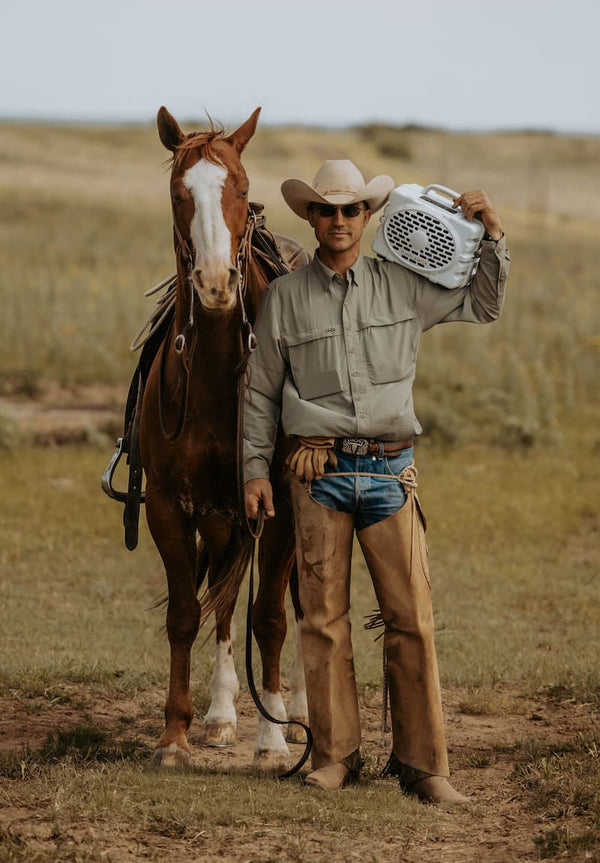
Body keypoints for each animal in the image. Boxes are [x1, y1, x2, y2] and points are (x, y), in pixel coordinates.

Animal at [139, 108, 310, 768]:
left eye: (239, 186)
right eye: (177, 193)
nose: (215, 282)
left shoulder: (281, 504)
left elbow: (271, 619)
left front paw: (273, 740)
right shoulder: (169, 505)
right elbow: (190, 613)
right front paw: (176, 736)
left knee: (297, 603)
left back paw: (297, 712)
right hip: (221, 517)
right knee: (224, 600)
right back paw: (219, 715)